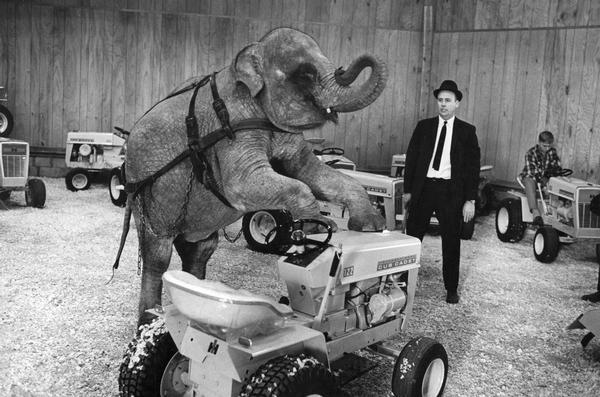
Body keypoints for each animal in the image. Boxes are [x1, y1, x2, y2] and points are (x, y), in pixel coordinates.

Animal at [117, 27, 390, 324]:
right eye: (305, 74)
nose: (344, 68)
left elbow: (312, 172)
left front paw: (371, 226)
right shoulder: (231, 126)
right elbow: (245, 185)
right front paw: (316, 229)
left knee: (201, 249)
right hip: (148, 196)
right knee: (158, 255)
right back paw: (151, 321)